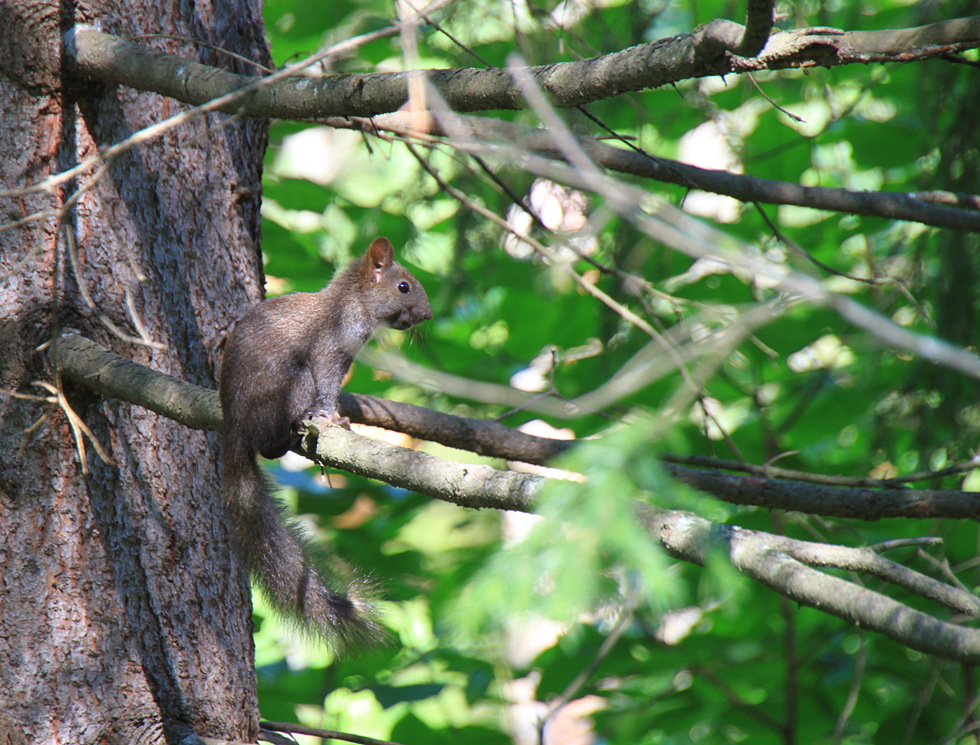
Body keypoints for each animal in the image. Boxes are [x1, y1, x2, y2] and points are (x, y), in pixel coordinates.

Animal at [218, 237, 432, 644]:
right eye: (403, 286)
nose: (427, 316)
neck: (351, 304)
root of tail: (235, 427)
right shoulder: (331, 349)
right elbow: (327, 389)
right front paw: (332, 419)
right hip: (292, 382)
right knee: (268, 444)